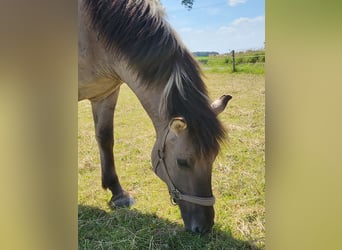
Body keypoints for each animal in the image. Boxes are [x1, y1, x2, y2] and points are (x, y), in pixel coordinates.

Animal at [78, 0, 231, 234]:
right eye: (182, 162)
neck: (91, 33)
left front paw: (118, 193)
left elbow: (105, 139)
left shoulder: (105, 94)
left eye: (213, 157)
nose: (204, 227)